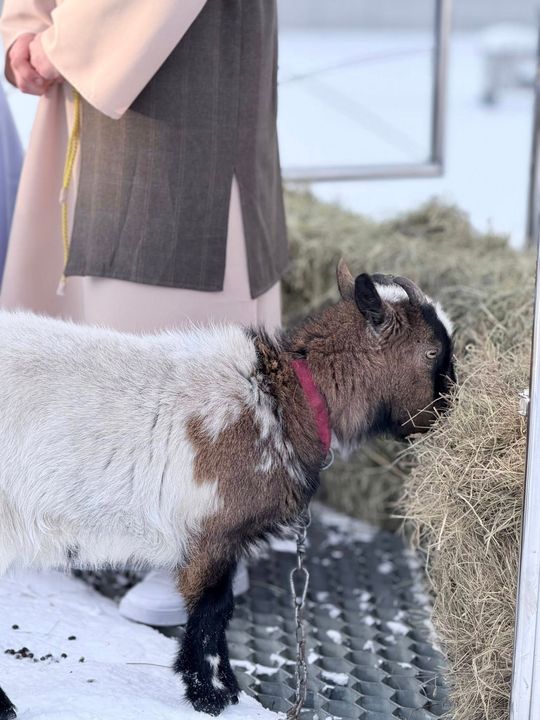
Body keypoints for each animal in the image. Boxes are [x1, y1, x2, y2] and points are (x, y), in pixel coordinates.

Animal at [0, 261, 455, 718]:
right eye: (433, 351)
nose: (449, 411)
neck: (282, 400)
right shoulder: (212, 532)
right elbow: (213, 610)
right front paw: (212, 694)